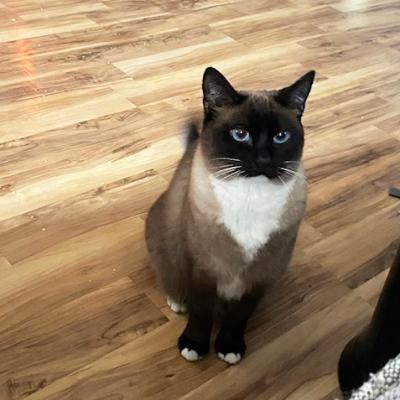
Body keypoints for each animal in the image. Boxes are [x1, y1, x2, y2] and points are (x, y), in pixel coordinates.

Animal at [145, 66, 314, 366]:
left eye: (281, 136)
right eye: (240, 134)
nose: (262, 159)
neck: (250, 197)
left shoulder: (260, 276)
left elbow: (238, 317)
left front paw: (229, 347)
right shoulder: (203, 269)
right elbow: (201, 313)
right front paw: (194, 346)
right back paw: (178, 301)